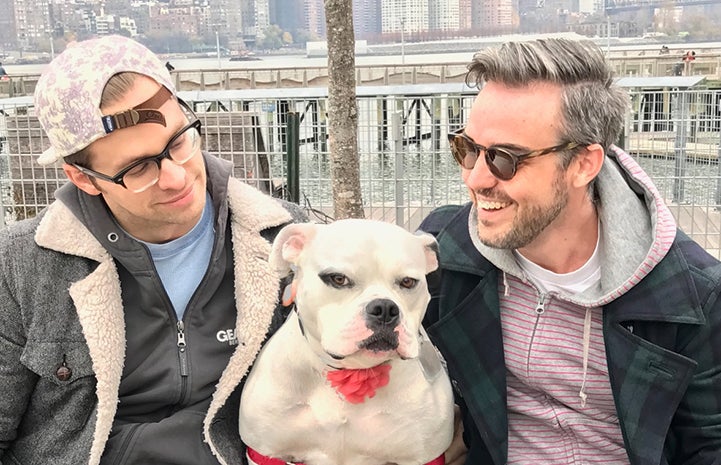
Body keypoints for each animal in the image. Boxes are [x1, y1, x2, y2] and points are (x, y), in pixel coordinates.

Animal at [238, 218, 450, 464]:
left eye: (408, 282)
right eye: (338, 279)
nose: (385, 309)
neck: (349, 371)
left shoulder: (423, 456)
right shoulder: (266, 453)